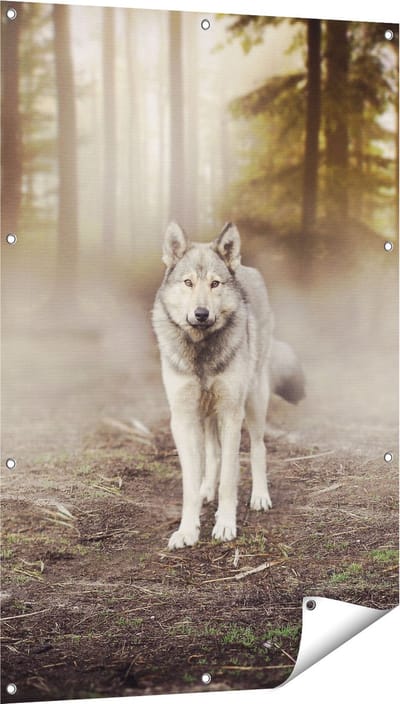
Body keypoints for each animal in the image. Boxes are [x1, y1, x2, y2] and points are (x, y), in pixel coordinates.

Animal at [152, 222, 305, 549]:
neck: (202, 352)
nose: (201, 313)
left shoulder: (232, 415)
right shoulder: (183, 419)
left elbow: (230, 479)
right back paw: (205, 490)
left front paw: (224, 525)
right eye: (188, 282)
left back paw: (259, 496)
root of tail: (246, 267)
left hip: (254, 402)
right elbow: (190, 482)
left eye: (215, 284)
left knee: (258, 448)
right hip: (207, 413)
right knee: (213, 454)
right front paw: (187, 529)